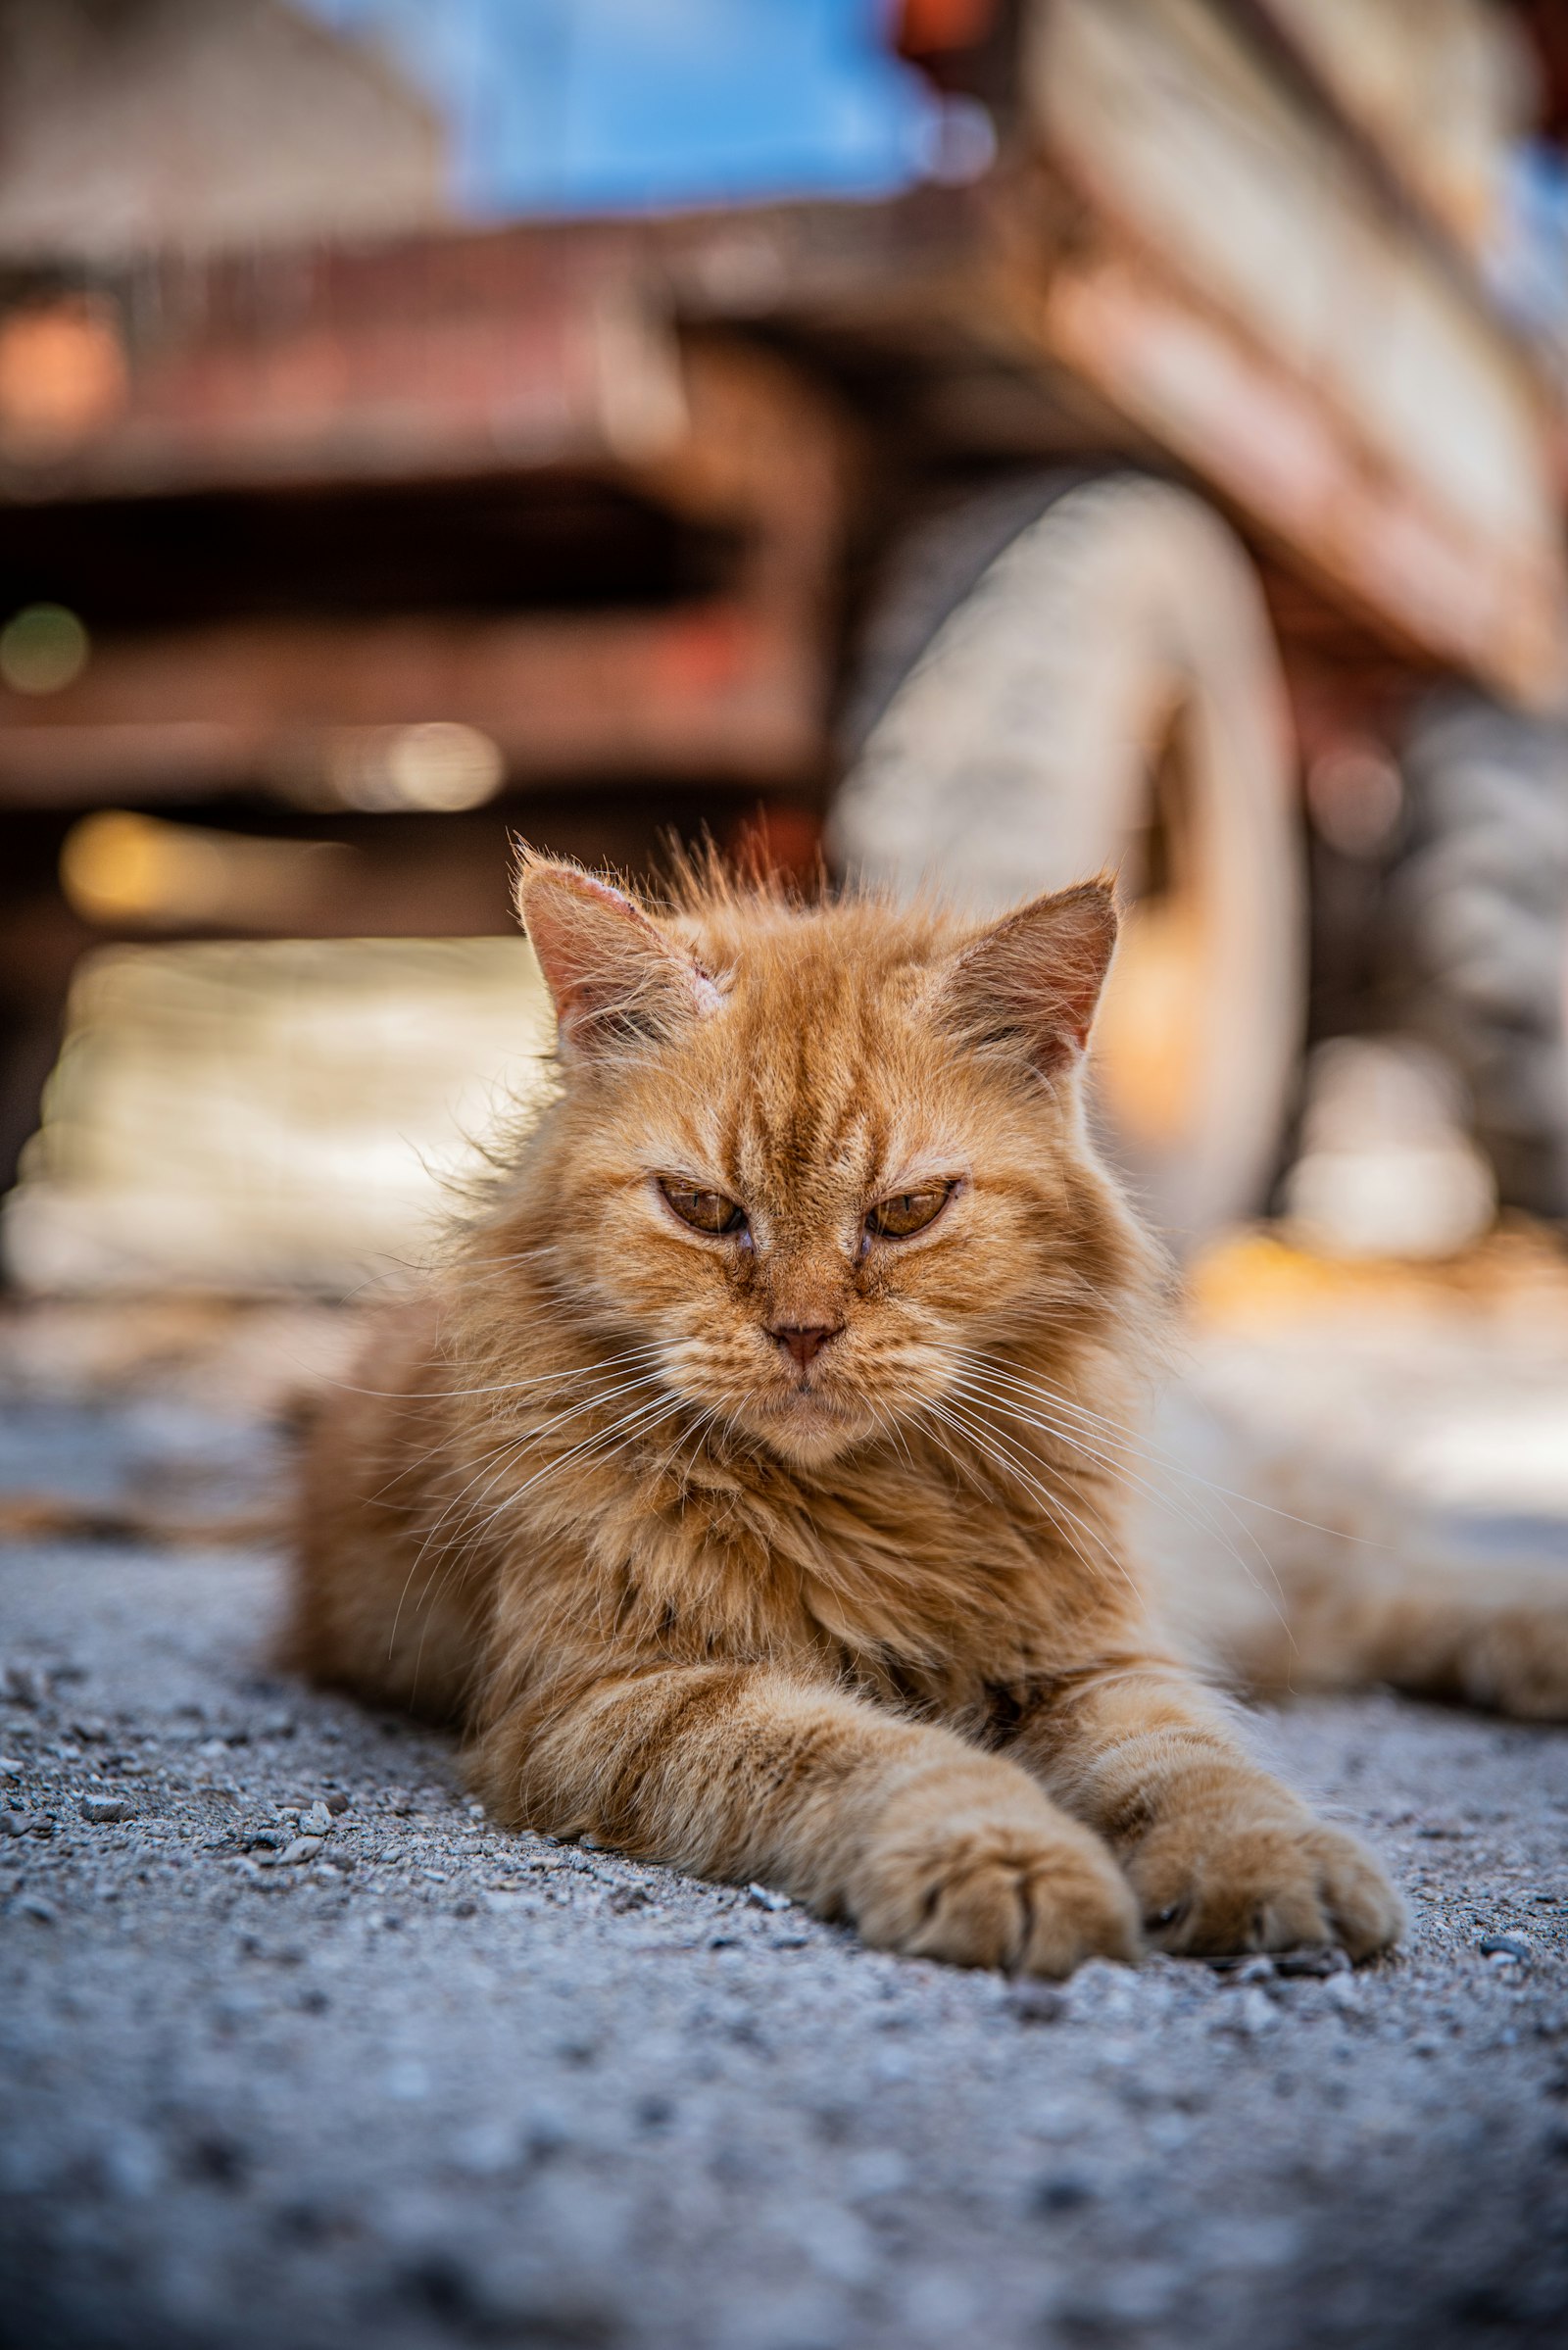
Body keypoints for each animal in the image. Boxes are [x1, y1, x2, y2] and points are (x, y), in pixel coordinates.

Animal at [293, 855, 1419, 1974]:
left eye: (907, 1213)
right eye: (702, 1210)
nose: (801, 1332)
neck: (866, 1510)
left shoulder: (1097, 1660)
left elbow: (1194, 1765)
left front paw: (1271, 1861)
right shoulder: (611, 1698)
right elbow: (877, 1755)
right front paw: (1007, 1859)